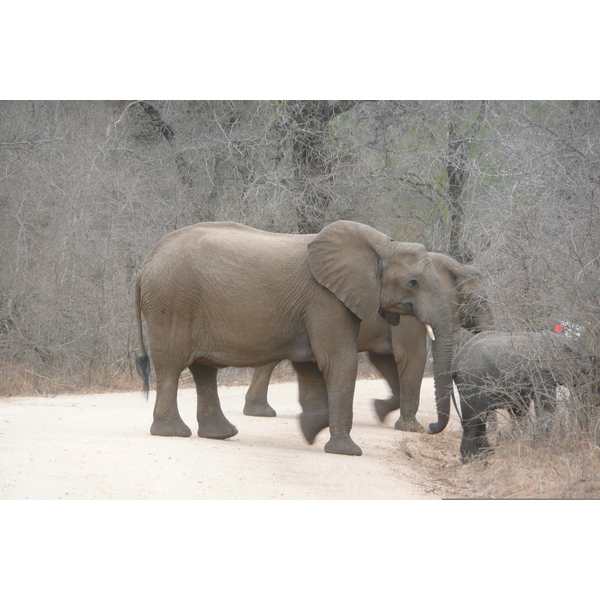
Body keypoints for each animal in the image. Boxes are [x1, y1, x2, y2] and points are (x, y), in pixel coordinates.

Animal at [136, 220, 454, 454]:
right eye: (413, 282)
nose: (431, 429)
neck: (383, 245)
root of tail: (147, 261)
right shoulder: (326, 299)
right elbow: (339, 361)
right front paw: (346, 451)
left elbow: (313, 364)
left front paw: (310, 432)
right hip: (172, 303)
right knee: (171, 367)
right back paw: (173, 433)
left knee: (203, 371)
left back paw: (220, 434)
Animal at [244, 252, 492, 432]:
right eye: (479, 301)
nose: (432, 426)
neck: (454, 265)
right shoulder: (408, 311)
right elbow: (411, 356)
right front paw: (412, 429)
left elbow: (384, 359)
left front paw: (379, 409)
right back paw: (262, 412)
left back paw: (258, 411)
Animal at [454, 330, 592, 462]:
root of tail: (456, 362)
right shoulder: (541, 370)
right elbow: (545, 406)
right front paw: (542, 447)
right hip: (472, 382)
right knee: (474, 418)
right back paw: (471, 458)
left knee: (481, 418)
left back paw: (486, 453)